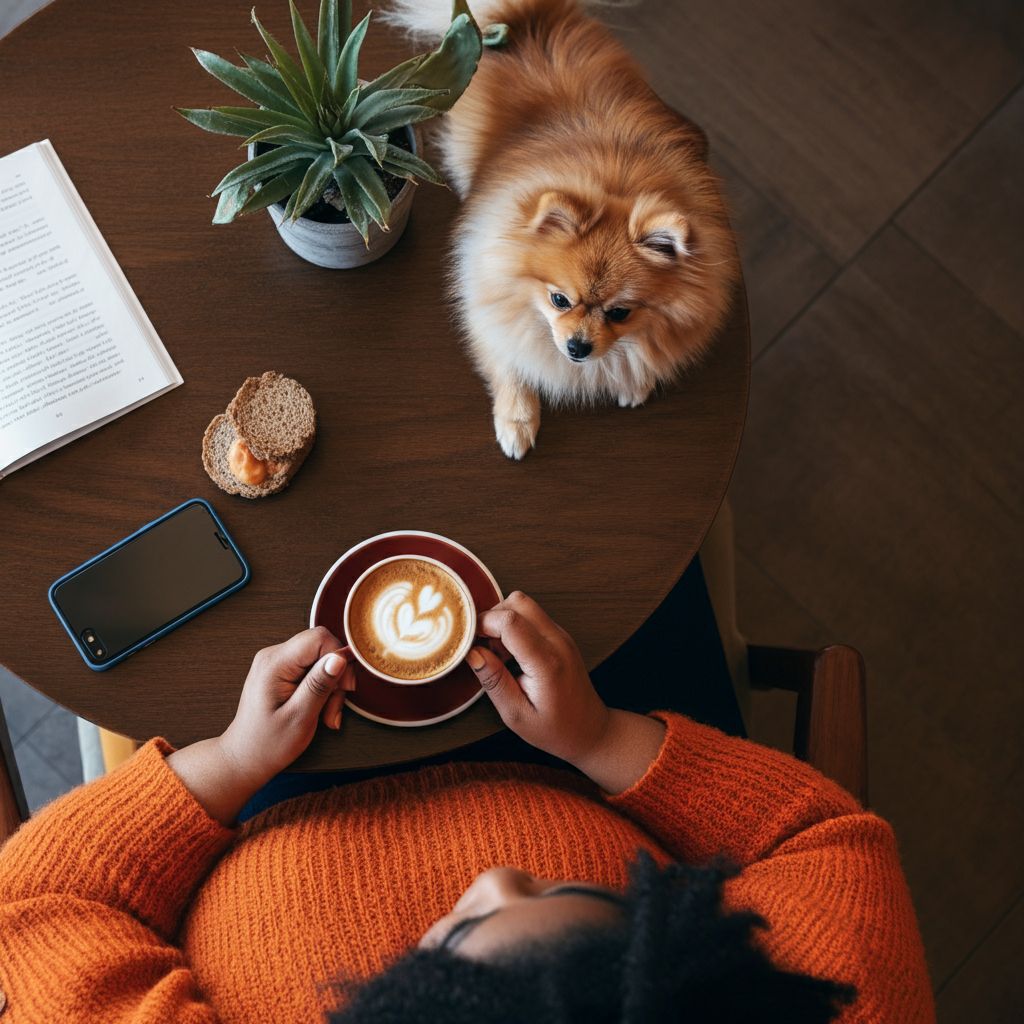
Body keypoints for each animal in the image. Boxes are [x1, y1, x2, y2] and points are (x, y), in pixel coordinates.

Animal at [385, 0, 737, 456]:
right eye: (559, 300)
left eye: (620, 313)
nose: (578, 346)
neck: (615, 182)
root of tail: (529, 17)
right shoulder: (487, 296)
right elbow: (510, 364)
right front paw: (517, 420)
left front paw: (635, 379)